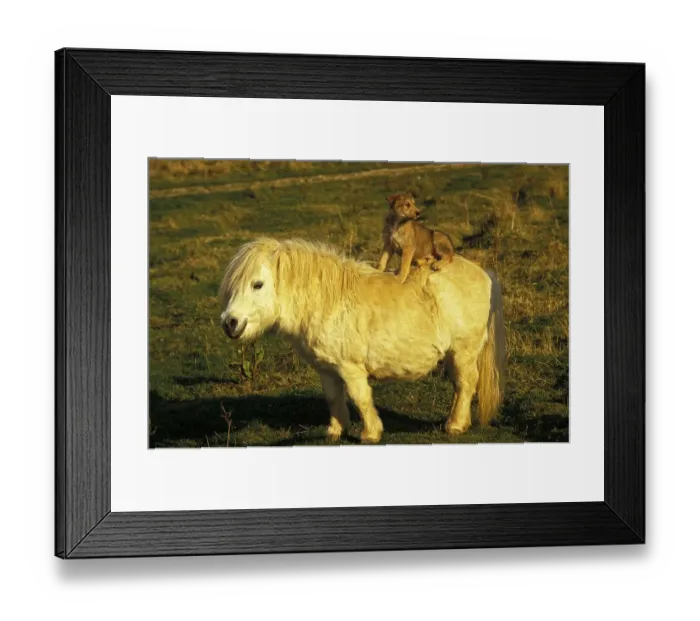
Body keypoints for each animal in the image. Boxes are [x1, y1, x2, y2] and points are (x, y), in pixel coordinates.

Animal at [218, 238, 505, 443]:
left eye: (257, 284)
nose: (230, 323)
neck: (327, 302)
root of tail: (485, 274)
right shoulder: (326, 369)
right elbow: (334, 398)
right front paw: (336, 432)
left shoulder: (350, 368)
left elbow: (360, 398)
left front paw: (370, 433)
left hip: (464, 350)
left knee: (466, 384)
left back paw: (455, 425)